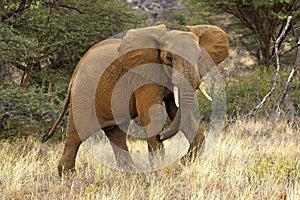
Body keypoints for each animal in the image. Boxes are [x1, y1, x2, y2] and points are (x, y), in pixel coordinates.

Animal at [42, 24, 230, 176]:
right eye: (168, 58)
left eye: (199, 58)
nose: (162, 135)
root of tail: (76, 70)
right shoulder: (142, 76)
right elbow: (152, 113)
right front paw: (159, 171)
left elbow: (176, 110)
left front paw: (183, 163)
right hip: (83, 93)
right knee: (76, 134)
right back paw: (68, 176)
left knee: (116, 134)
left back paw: (130, 172)